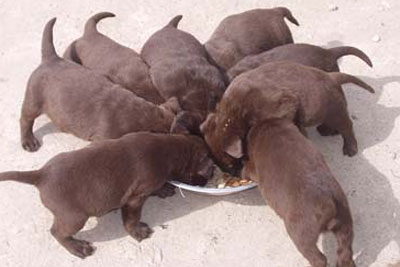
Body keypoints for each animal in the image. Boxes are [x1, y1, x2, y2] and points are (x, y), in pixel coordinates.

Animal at [0, 133, 216, 258]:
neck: (168, 148)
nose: (212, 174)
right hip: (75, 217)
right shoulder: (135, 198)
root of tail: (41, 175)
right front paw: (138, 232)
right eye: (208, 170)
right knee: (57, 232)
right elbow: (131, 219)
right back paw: (77, 248)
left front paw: (163, 189)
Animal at [20, 18, 178, 153]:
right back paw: (29, 142)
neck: (143, 115)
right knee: (25, 119)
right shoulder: (104, 138)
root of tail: (52, 58)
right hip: (33, 99)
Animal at [202, 62, 374, 172]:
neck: (233, 111)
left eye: (230, 164)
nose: (234, 174)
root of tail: (332, 76)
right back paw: (326, 130)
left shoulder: (282, 104)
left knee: (347, 126)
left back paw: (350, 148)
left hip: (334, 110)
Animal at [242, 120, 354, 267]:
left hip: (300, 232)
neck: (272, 129)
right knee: (345, 252)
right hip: (344, 220)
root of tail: (328, 203)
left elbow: (248, 169)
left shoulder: (255, 169)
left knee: (318, 258)